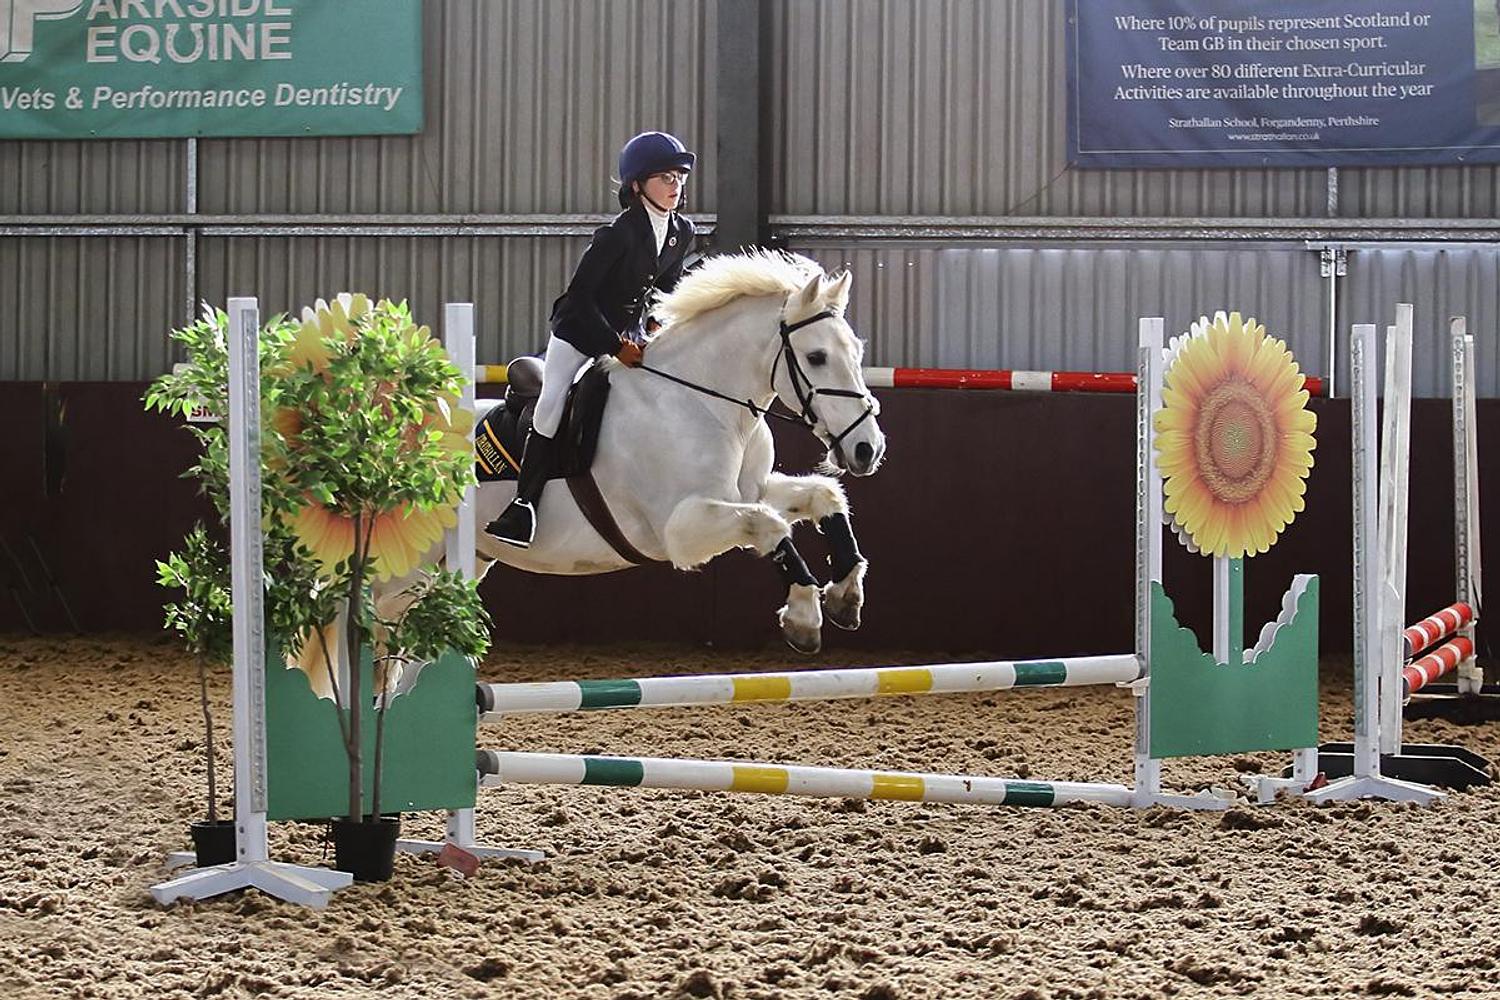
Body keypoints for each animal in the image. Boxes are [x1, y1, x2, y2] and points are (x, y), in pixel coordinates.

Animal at [459, 254, 876, 653]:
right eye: (817, 357)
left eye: (857, 351)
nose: (867, 449)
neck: (704, 403)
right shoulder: (679, 529)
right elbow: (769, 524)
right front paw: (804, 616)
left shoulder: (748, 492)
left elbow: (823, 495)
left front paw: (845, 594)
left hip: (471, 558)